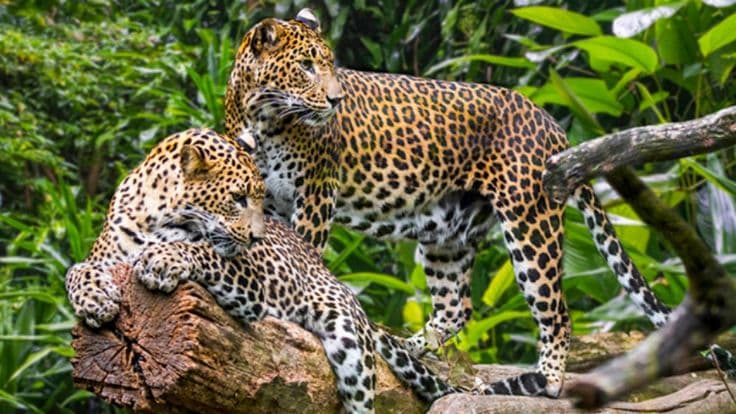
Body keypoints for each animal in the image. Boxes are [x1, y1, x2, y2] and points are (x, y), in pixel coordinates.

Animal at [223, 8, 675, 397]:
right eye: (305, 66)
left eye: (329, 65)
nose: (336, 100)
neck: (262, 116)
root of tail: (550, 123)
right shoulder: (267, 200)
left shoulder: (316, 192)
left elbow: (306, 254)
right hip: (447, 232)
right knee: (457, 306)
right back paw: (409, 347)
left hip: (530, 219)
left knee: (556, 312)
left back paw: (547, 380)